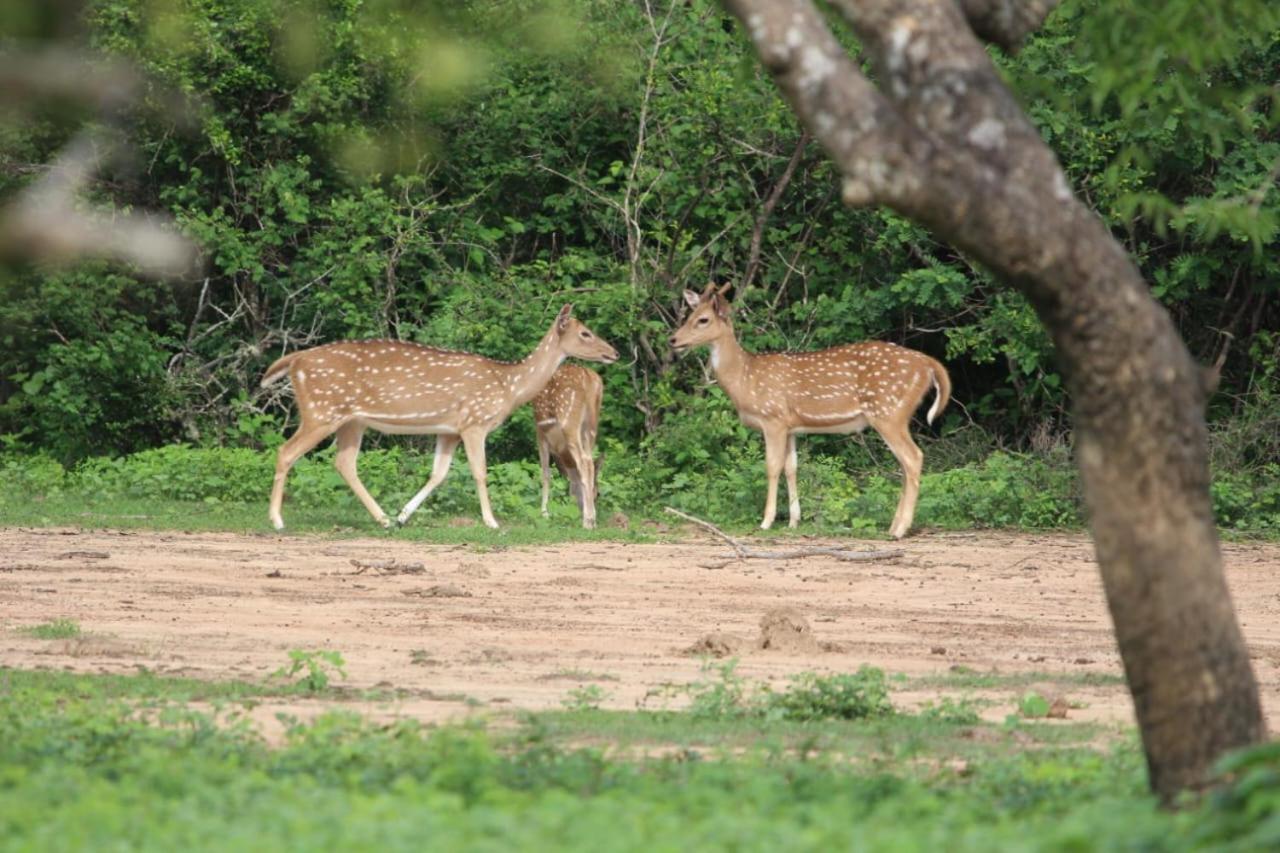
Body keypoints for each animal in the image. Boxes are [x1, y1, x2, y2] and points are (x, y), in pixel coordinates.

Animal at [532, 363, 606, 525]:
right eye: (598, 494)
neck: (560, 449)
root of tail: (588, 378)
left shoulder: (540, 432)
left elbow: (546, 473)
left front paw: (544, 512)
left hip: (569, 420)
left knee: (584, 463)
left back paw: (588, 521)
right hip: (592, 425)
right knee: (589, 462)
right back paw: (591, 518)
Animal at [670, 285, 952, 537]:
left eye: (703, 319)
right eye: (689, 315)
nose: (673, 340)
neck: (744, 378)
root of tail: (928, 363)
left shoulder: (772, 418)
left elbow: (771, 466)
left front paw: (767, 521)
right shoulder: (791, 426)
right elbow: (791, 467)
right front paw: (794, 521)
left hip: (889, 412)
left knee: (913, 457)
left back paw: (901, 529)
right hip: (894, 415)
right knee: (905, 463)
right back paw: (894, 526)